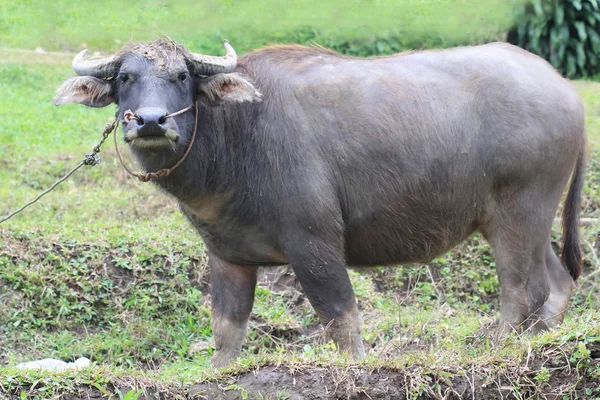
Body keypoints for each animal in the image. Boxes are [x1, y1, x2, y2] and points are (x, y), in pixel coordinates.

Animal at [54, 39, 588, 368]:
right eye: (125, 77)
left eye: (182, 75)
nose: (150, 121)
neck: (237, 135)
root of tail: (565, 90)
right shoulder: (226, 254)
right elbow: (227, 329)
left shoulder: (314, 243)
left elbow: (340, 319)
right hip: (532, 220)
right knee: (557, 283)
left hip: (518, 213)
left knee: (522, 291)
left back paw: (498, 346)